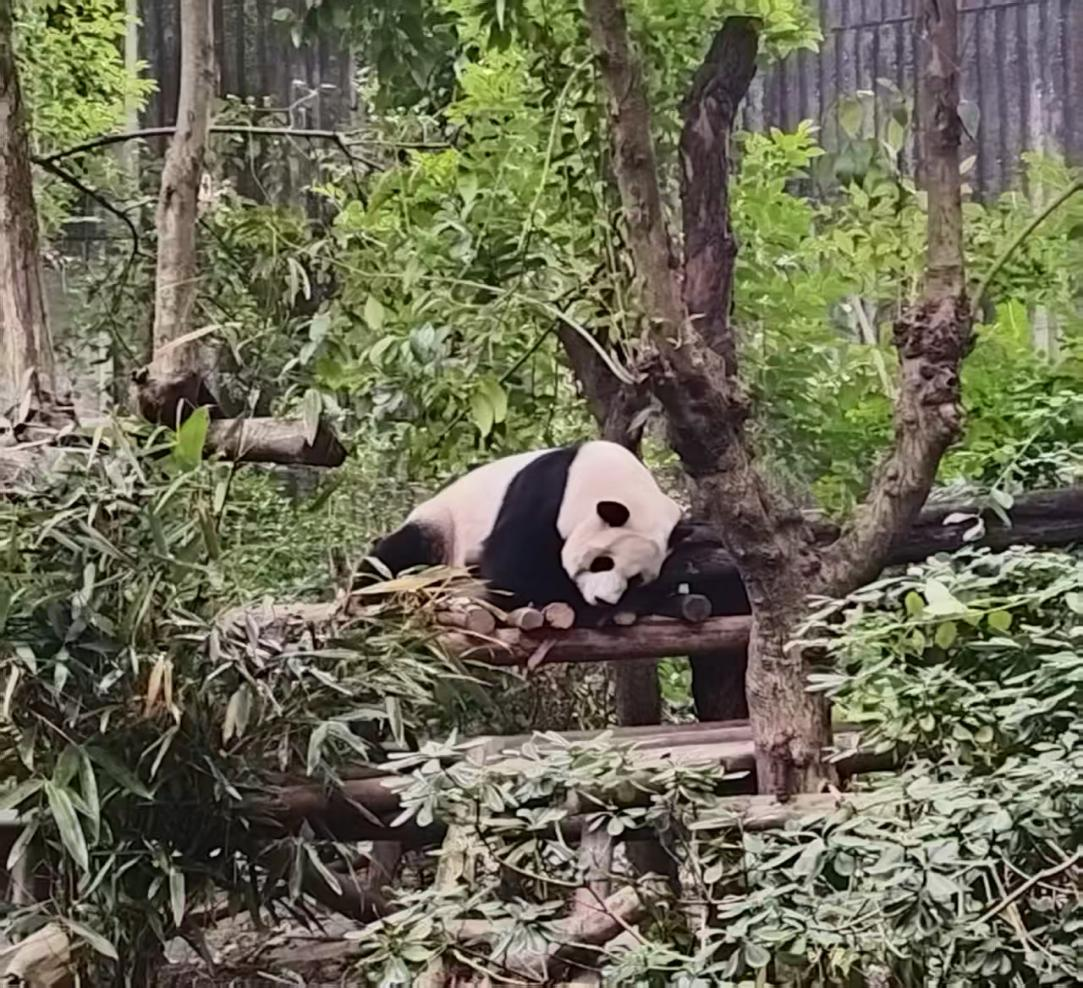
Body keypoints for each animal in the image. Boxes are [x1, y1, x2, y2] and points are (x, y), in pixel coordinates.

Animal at [368, 440, 692, 624]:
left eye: (635, 579)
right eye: (603, 562)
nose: (603, 600)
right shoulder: (543, 494)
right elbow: (513, 571)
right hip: (442, 527)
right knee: (400, 554)